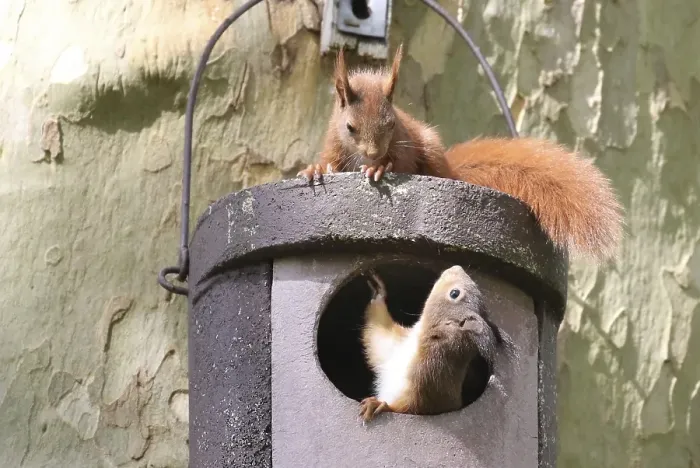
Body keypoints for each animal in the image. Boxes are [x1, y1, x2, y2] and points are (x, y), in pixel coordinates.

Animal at [298, 45, 623, 262]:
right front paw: (315, 169)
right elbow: (330, 162)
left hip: (430, 150)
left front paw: (380, 168)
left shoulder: (405, 141)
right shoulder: (335, 144)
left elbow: (402, 162)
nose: (374, 153)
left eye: (391, 123)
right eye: (350, 127)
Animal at [359, 266, 501, 423]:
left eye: (454, 293)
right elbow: (378, 333)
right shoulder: (395, 345)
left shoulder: (430, 374)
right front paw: (378, 290)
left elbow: (415, 408)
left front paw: (380, 405)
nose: (456, 267)